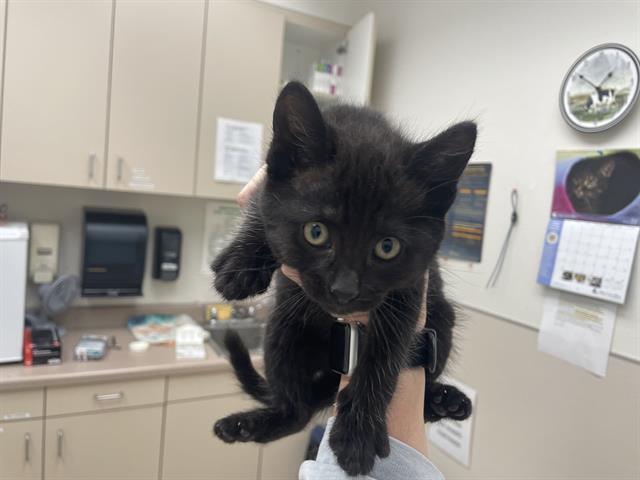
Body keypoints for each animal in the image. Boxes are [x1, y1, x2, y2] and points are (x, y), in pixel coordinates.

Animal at [214, 82, 476, 476]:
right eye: (316, 231)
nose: (344, 290)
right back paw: (245, 424)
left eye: (387, 247)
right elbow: (261, 206)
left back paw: (444, 400)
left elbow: (385, 355)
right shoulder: (268, 178)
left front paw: (358, 434)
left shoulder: (410, 286)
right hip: (281, 331)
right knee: (296, 410)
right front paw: (239, 263)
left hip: (442, 321)